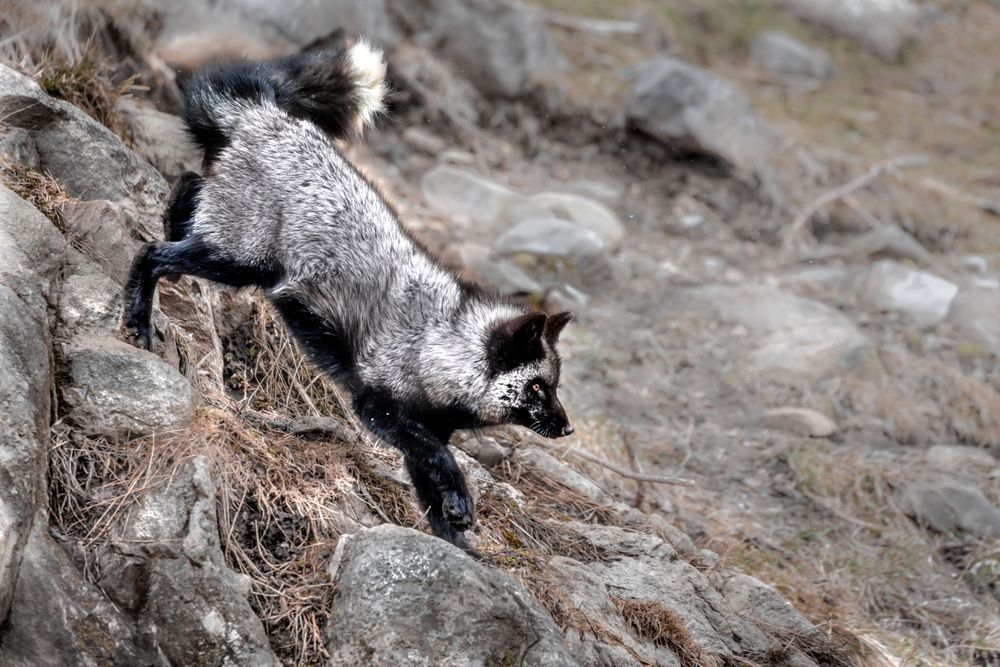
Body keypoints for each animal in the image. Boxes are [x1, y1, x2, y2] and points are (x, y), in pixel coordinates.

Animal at [121, 40, 574, 552]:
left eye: (554, 385)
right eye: (537, 387)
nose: (567, 427)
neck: (439, 346)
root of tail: (267, 116)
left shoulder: (417, 429)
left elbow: (432, 490)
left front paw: (456, 549)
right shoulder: (377, 407)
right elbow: (443, 461)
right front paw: (461, 506)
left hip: (229, 248)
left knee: (186, 188)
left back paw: (171, 222)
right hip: (239, 261)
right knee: (151, 252)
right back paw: (137, 319)